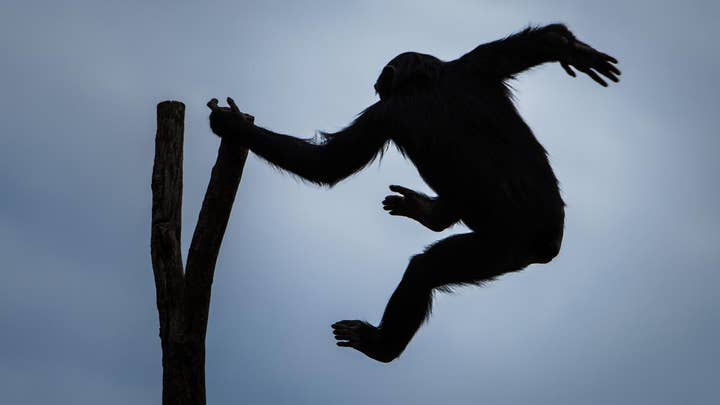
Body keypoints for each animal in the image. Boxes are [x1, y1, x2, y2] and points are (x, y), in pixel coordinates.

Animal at [207, 24, 620, 362]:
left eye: (381, 80)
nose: (375, 83)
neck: (426, 83)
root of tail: (550, 245)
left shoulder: (384, 113)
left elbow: (328, 164)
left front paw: (233, 127)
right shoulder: (474, 62)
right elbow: (533, 44)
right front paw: (575, 51)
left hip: (503, 248)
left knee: (426, 271)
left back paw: (380, 345)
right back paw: (430, 214)